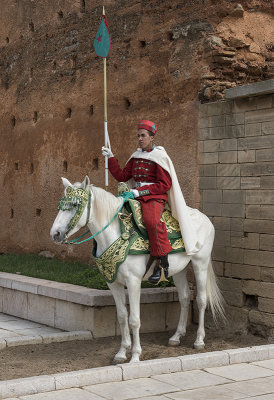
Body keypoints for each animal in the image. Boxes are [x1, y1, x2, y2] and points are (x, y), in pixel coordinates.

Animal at [50, 175, 225, 362]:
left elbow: (134, 319)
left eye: (75, 205)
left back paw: (199, 340)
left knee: (201, 299)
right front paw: (121, 352)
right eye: (61, 205)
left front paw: (135, 356)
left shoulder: (133, 281)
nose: (55, 234)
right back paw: (176, 336)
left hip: (201, 263)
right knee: (184, 298)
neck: (115, 233)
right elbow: (122, 316)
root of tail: (204, 217)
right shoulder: (113, 282)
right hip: (179, 269)